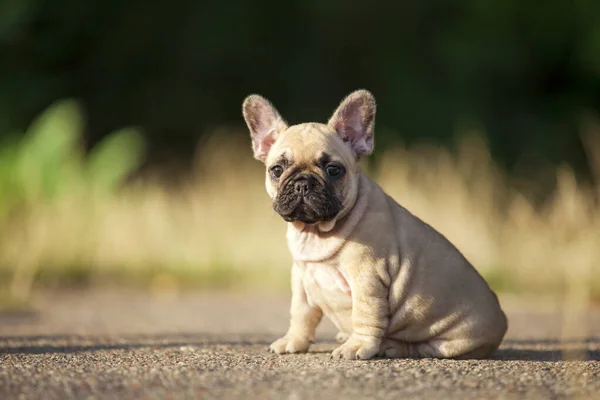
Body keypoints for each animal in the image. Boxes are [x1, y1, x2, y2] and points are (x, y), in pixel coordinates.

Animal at [241, 90, 508, 360]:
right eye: (277, 169)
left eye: (333, 170)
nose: (302, 183)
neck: (316, 232)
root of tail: (503, 322)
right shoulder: (301, 279)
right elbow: (300, 313)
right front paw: (293, 340)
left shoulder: (366, 278)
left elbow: (365, 314)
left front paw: (358, 346)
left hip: (452, 340)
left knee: (420, 346)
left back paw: (388, 346)